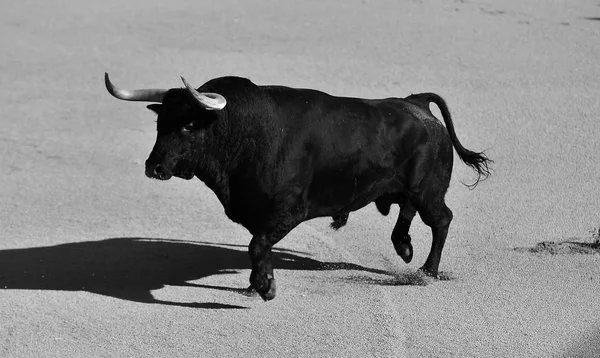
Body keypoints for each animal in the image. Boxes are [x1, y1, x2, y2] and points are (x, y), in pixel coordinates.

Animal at [104, 74, 492, 300]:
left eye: (188, 125)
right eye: (160, 123)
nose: (154, 167)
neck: (247, 133)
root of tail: (415, 102)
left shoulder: (287, 210)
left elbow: (257, 244)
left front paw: (265, 287)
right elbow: (258, 245)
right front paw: (255, 284)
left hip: (429, 191)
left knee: (441, 219)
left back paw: (428, 269)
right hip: (411, 189)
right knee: (408, 210)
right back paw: (405, 248)